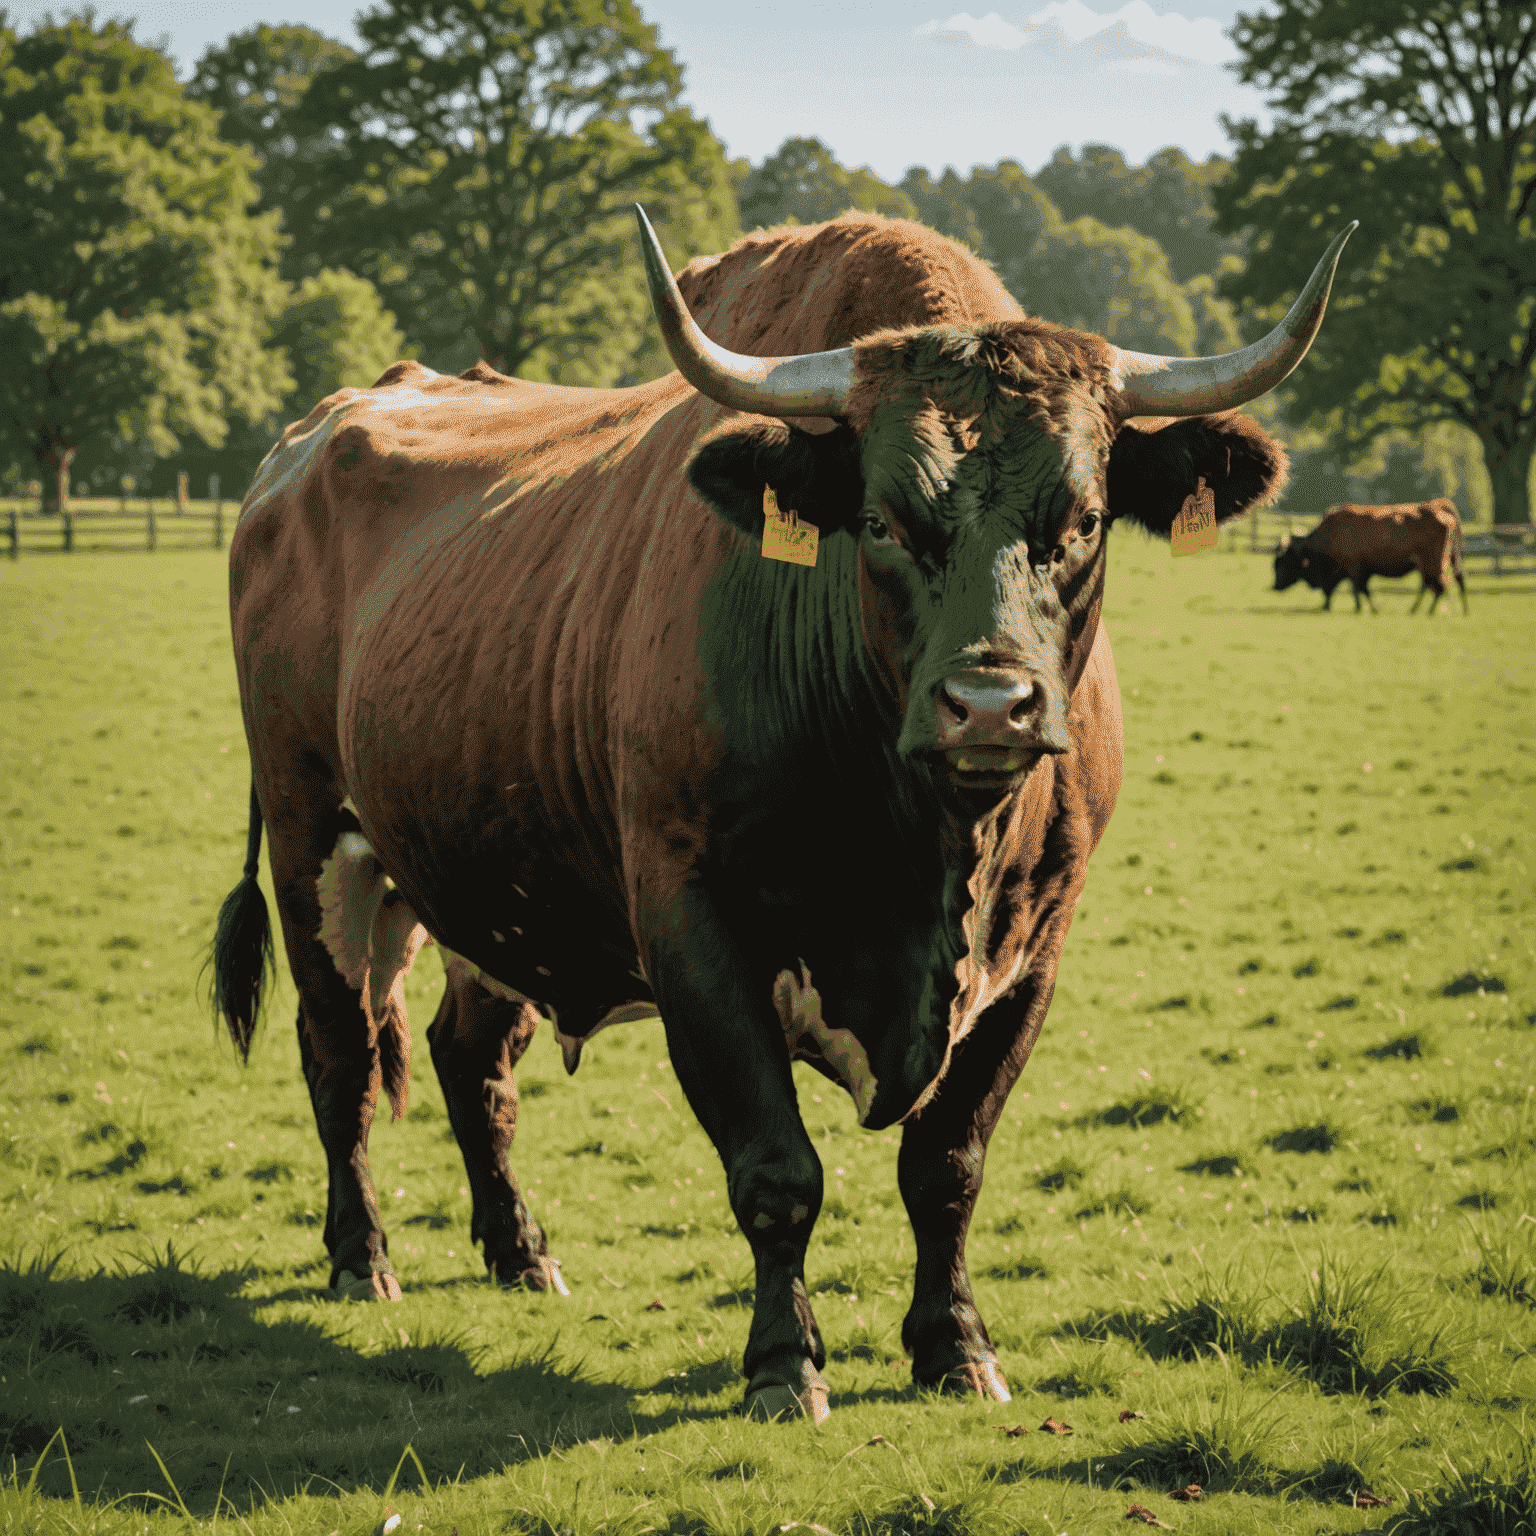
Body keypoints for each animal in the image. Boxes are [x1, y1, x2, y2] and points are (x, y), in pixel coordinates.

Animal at [213, 210, 1357, 1419]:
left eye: (1085, 519)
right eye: (883, 522)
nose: (987, 702)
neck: (923, 852)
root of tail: (310, 443)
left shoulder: (1034, 949)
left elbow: (947, 1166)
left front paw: (955, 1346)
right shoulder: (693, 924)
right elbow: (776, 1171)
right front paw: (782, 1363)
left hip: (485, 886)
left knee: (467, 1058)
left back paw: (521, 1252)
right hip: (314, 845)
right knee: (340, 1054)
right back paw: (362, 1258)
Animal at [1265, 497, 1468, 611]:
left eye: (1283, 561)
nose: (1275, 586)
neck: (1332, 533)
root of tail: (1442, 510)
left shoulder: (1354, 568)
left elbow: (1358, 589)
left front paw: (1361, 608)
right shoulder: (1357, 570)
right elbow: (1358, 589)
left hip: (1433, 565)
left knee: (1439, 587)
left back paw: (1426, 612)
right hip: (1430, 566)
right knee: (1434, 586)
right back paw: (1418, 610)